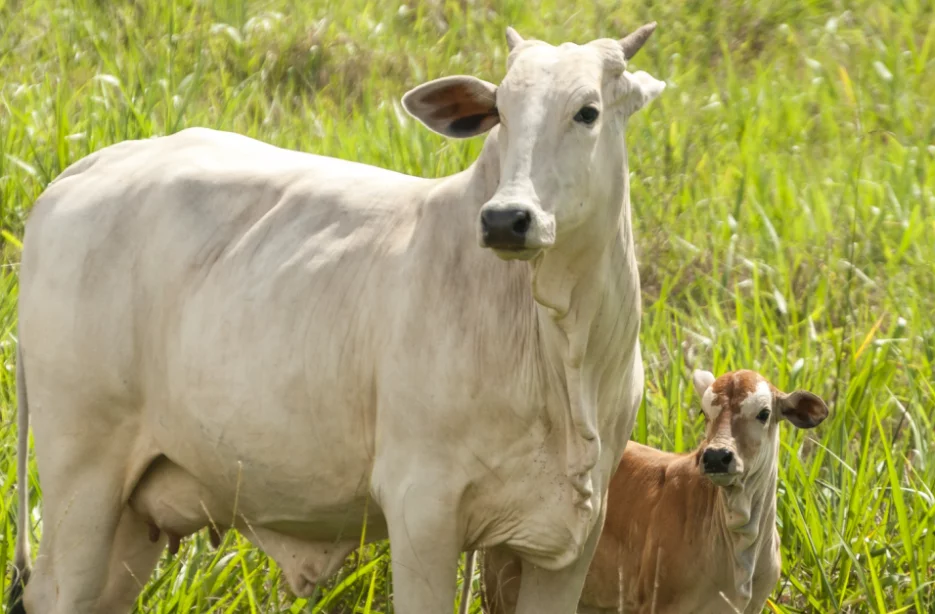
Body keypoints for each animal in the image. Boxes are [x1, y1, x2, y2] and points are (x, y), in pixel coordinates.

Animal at [9, 24, 664, 614]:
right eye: (499, 111)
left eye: (587, 112)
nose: (506, 218)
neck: (561, 352)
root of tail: (81, 171)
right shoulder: (421, 507)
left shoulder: (574, 534)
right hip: (82, 474)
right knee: (55, 594)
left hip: (134, 510)